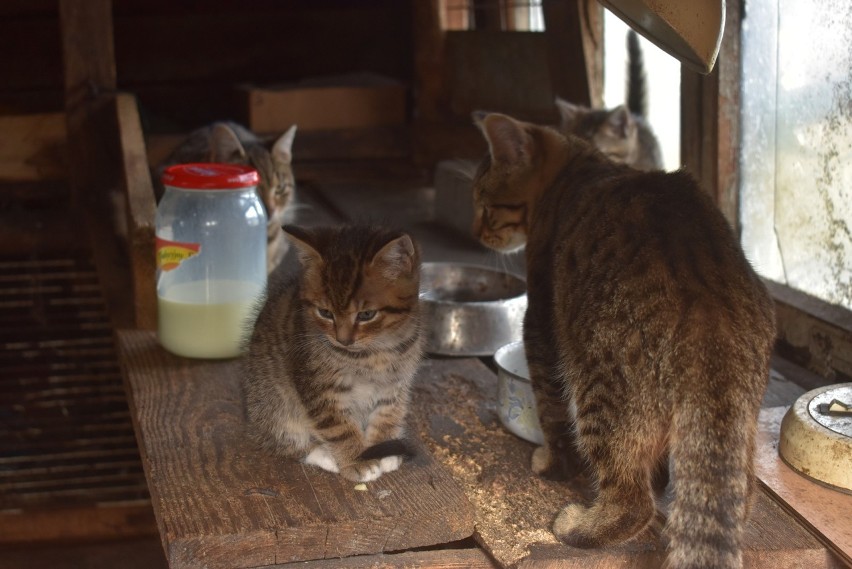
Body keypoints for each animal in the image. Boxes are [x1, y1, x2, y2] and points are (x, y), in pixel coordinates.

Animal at [241, 222, 424, 480]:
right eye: (325, 313)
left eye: (366, 315)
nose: (343, 340)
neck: (374, 352)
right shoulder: (318, 387)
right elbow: (338, 426)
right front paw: (358, 460)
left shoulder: (395, 384)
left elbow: (388, 414)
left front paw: (383, 448)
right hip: (273, 402)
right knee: (288, 439)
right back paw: (324, 455)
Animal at [472, 112, 780, 568]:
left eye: (486, 206)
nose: (476, 232)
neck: (578, 169)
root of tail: (711, 312)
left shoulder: (540, 322)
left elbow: (550, 412)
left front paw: (552, 463)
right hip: (738, 425)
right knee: (739, 493)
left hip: (596, 386)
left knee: (633, 501)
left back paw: (579, 528)